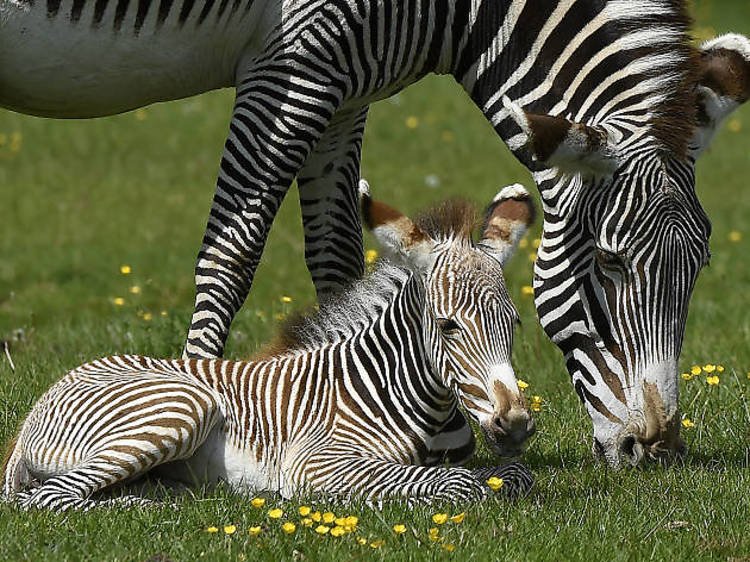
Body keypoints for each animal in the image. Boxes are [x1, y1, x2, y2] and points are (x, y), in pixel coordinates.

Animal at [1, 0, 750, 464]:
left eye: (702, 264)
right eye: (610, 263)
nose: (657, 448)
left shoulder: (343, 88)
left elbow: (338, 259)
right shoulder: (292, 67)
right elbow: (232, 249)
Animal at [2, 182, 536, 510]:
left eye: (514, 323)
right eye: (448, 327)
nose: (514, 423)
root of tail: (43, 401)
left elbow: (515, 474)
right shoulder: (314, 461)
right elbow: (455, 482)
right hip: (182, 404)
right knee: (49, 496)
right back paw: (148, 503)